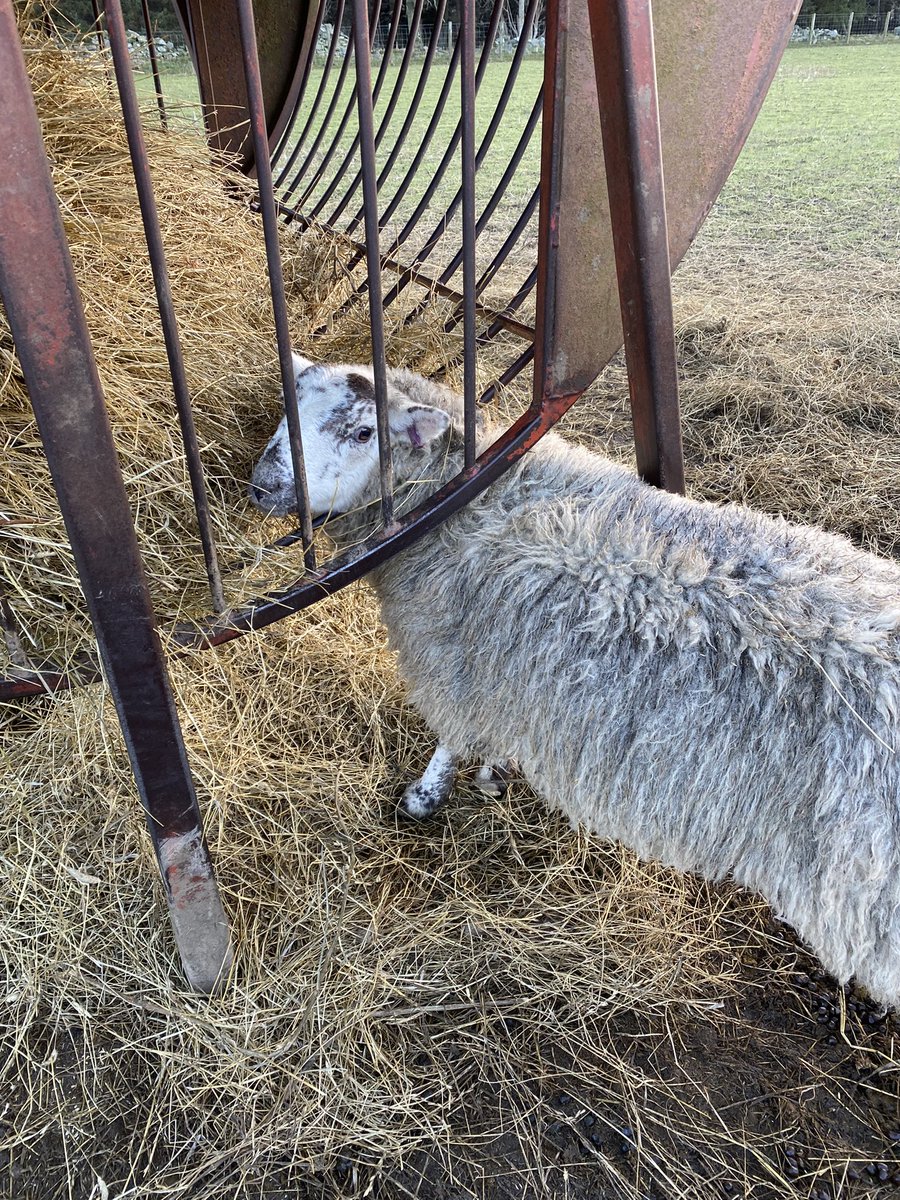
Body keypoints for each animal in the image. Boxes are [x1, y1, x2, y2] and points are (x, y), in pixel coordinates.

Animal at [250, 355, 900, 1008]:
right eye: (287, 407)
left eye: (364, 433)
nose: (263, 486)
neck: (466, 498)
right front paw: (494, 772)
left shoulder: (455, 662)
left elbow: (452, 738)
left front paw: (427, 796)